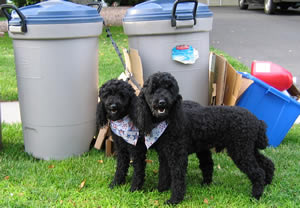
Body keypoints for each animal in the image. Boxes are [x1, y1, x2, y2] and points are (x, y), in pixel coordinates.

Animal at [137, 71, 276, 205]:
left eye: (170, 89)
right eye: (153, 88)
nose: (162, 102)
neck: (168, 122)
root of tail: (257, 121)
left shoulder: (178, 157)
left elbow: (178, 179)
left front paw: (174, 200)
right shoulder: (165, 155)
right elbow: (163, 174)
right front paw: (160, 190)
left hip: (240, 151)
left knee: (258, 172)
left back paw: (255, 196)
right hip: (247, 148)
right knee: (267, 163)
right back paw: (267, 182)